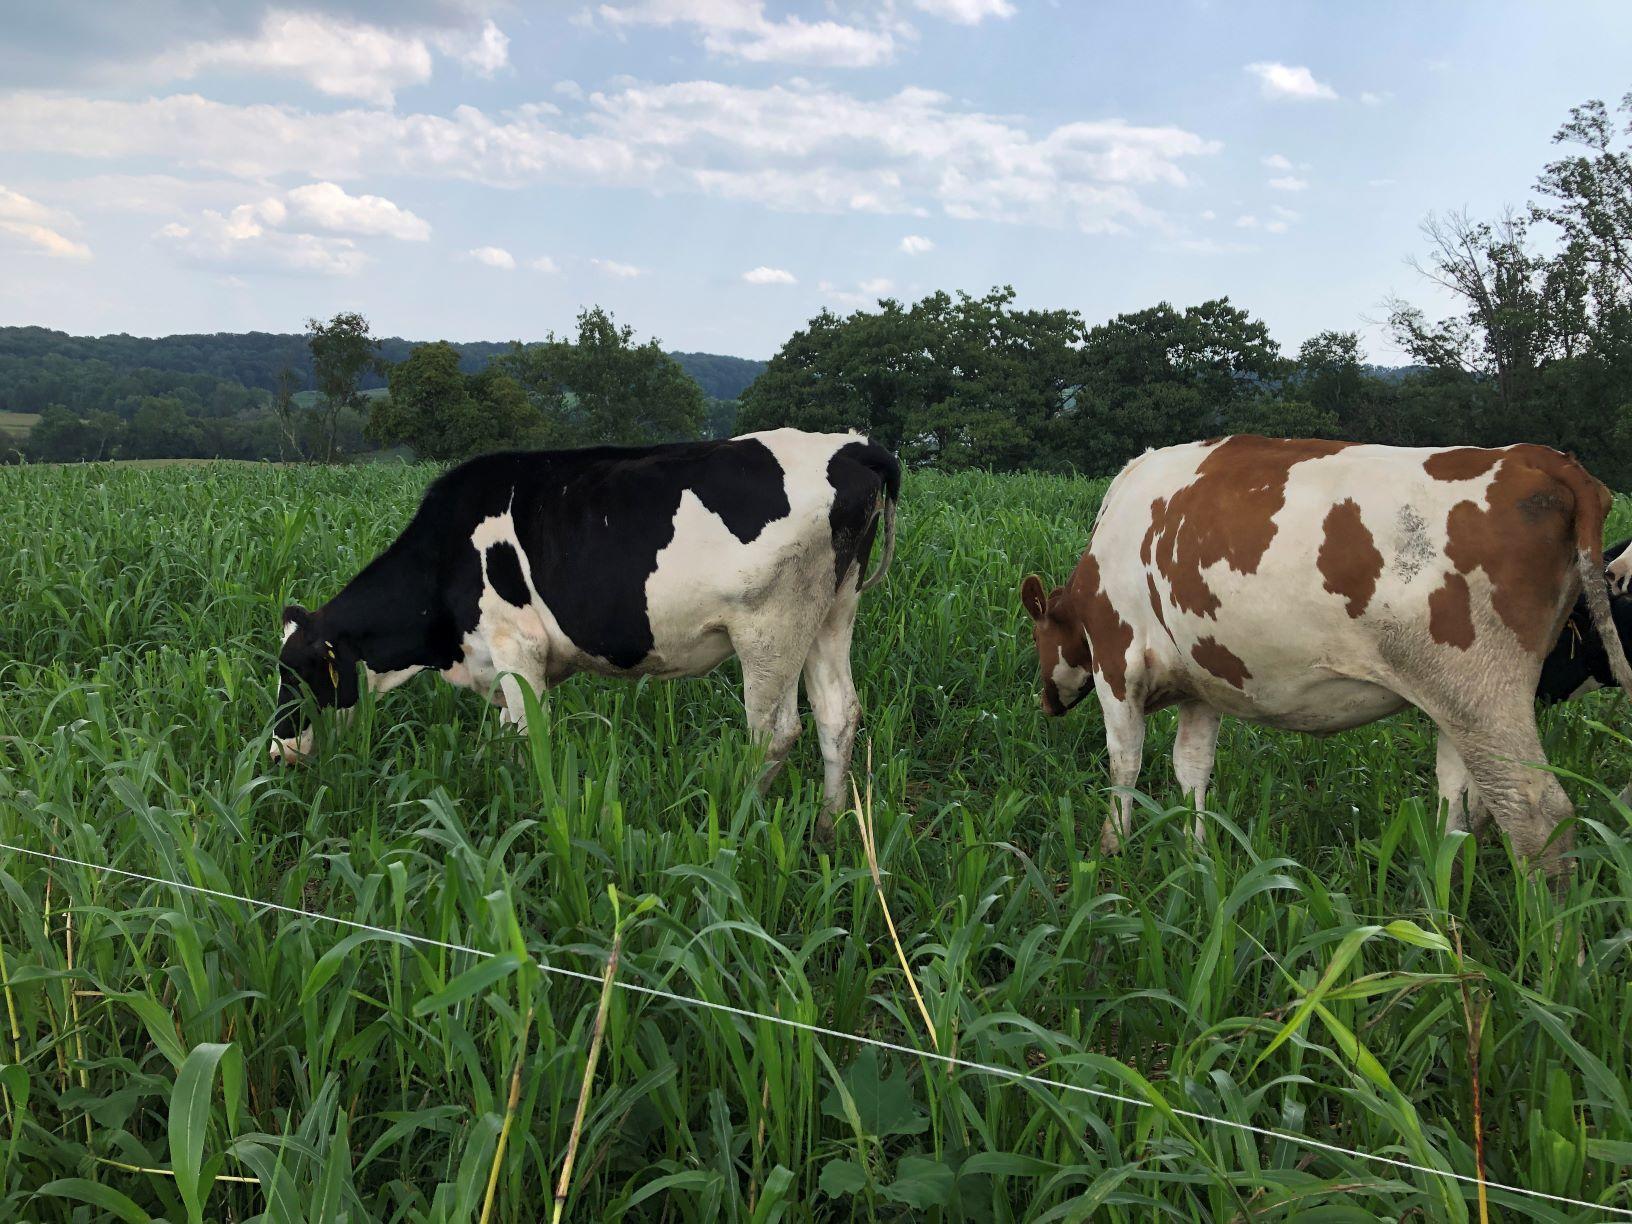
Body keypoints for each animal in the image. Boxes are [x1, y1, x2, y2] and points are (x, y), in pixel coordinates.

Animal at [272, 430, 900, 835]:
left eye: (297, 677)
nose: (277, 752)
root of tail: (854, 446)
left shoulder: (516, 646)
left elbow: (529, 738)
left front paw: (533, 817)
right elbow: (505, 737)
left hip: (771, 627)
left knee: (774, 732)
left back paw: (741, 823)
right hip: (832, 613)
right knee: (838, 714)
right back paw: (829, 827)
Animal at [1018, 437, 1632, 874]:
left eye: (1038, 631)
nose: (1046, 703)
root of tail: (1539, 458)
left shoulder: (1116, 661)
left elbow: (1124, 763)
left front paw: (1110, 850)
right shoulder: (1204, 679)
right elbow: (1191, 768)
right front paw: (1197, 854)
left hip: (1483, 693)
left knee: (1537, 815)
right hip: (1461, 706)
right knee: (1462, 801)